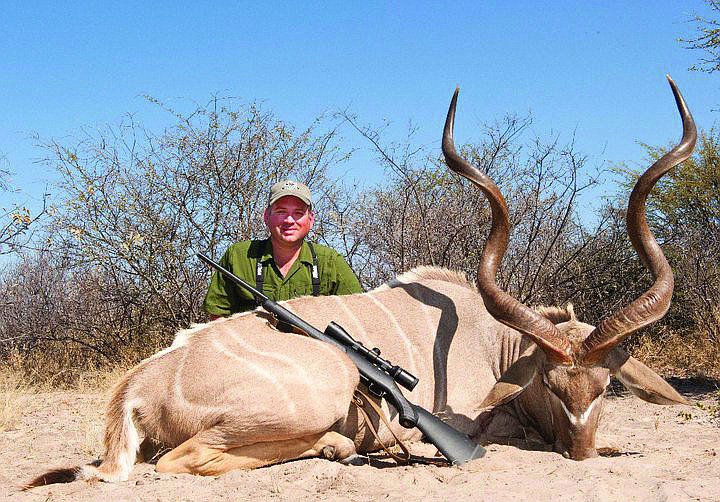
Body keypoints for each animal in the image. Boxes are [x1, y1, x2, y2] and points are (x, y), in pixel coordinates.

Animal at [26, 76, 692, 488]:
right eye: (552, 387)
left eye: (605, 387)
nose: (581, 453)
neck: (494, 342)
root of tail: (137, 388)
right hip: (328, 383)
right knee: (178, 462)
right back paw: (338, 446)